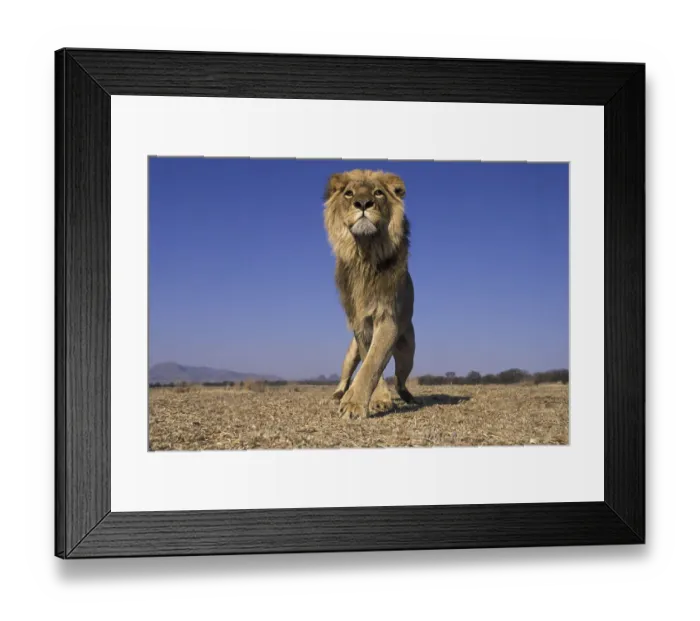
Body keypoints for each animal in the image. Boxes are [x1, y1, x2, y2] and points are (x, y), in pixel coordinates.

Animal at [323, 169, 416, 420]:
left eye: (378, 193)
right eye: (349, 193)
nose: (363, 203)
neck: (365, 253)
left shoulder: (387, 320)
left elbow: (373, 364)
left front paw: (354, 404)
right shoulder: (360, 325)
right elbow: (369, 363)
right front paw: (376, 399)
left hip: (408, 352)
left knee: (400, 379)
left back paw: (409, 397)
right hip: (349, 354)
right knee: (346, 374)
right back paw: (337, 395)